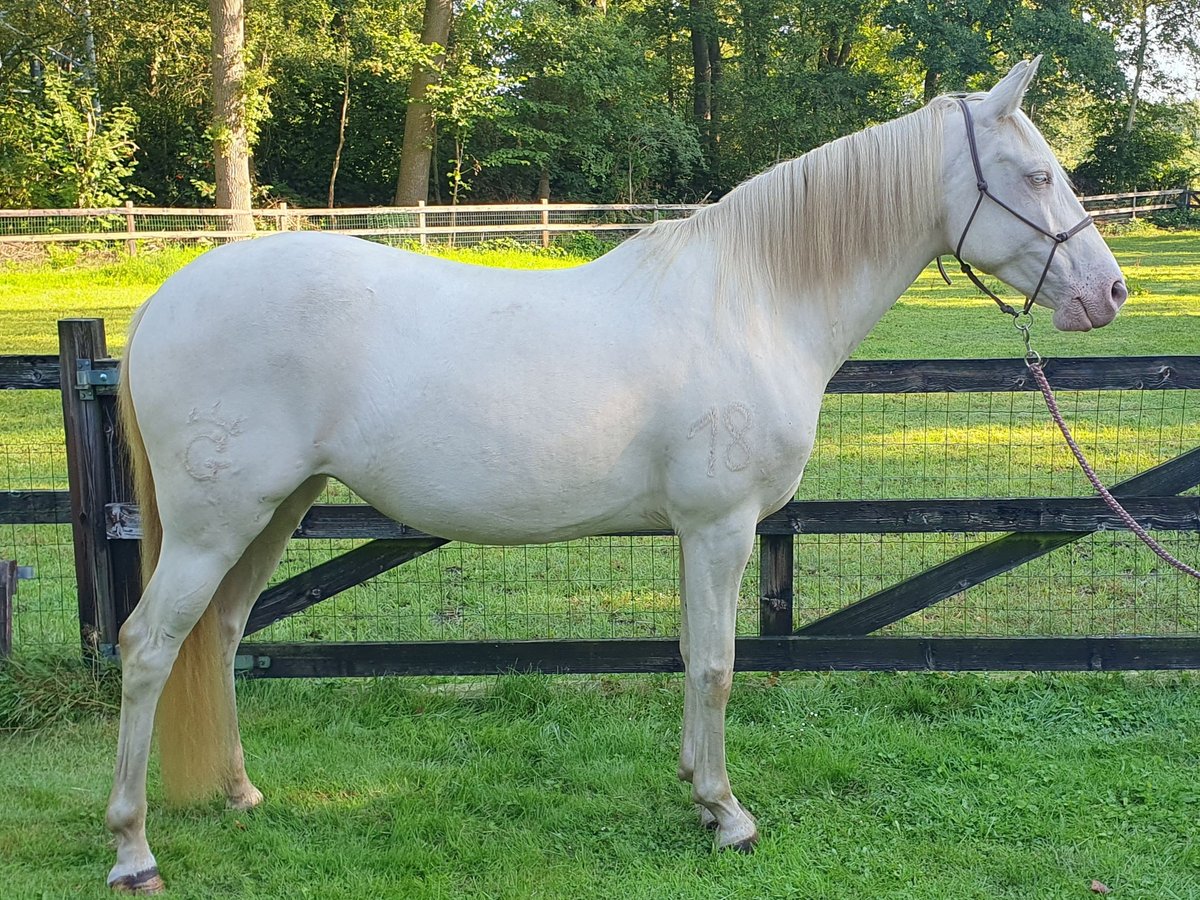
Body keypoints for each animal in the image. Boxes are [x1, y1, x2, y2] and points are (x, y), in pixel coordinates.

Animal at [105, 58, 1123, 897]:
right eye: (1038, 175)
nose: (1108, 292)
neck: (753, 300)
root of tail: (163, 300)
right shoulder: (720, 528)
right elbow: (716, 664)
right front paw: (730, 818)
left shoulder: (693, 534)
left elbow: (689, 655)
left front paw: (699, 795)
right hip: (214, 525)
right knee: (150, 647)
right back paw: (133, 851)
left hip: (274, 512)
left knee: (219, 635)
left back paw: (239, 793)